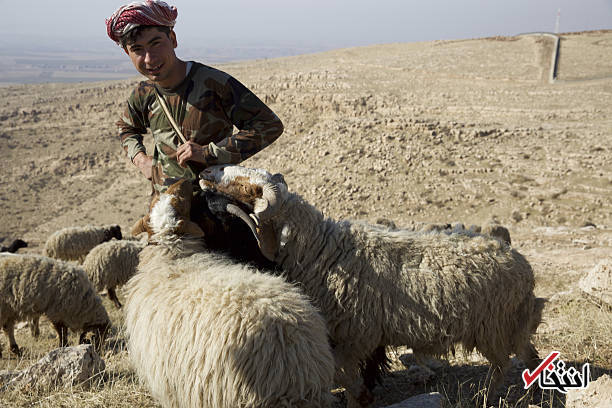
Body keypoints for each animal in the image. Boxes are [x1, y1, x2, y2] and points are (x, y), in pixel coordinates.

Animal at [198, 164, 544, 406]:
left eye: (246, 185)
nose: (204, 172)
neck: (323, 250)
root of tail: (523, 266)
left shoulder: (354, 338)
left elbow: (349, 381)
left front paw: (360, 399)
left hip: (495, 328)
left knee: (502, 366)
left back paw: (487, 396)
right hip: (509, 328)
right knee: (530, 358)